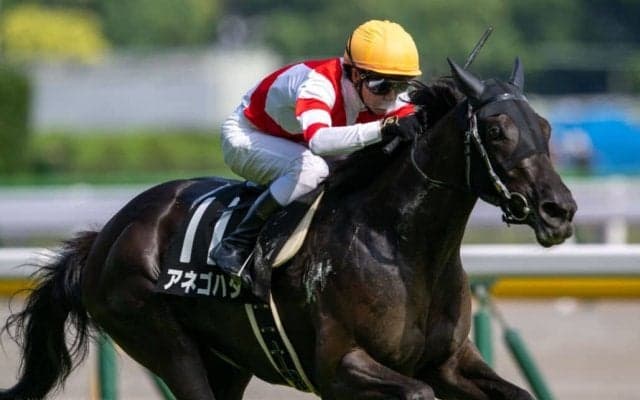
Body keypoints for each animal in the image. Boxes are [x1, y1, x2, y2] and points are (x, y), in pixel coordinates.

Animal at [1, 58, 576, 400]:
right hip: (163, 340)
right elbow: (415, 392)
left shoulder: (450, 362)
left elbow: (518, 393)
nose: (560, 210)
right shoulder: (340, 366)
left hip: (227, 361)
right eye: (497, 131)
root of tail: (106, 235)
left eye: (546, 127)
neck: (401, 247)